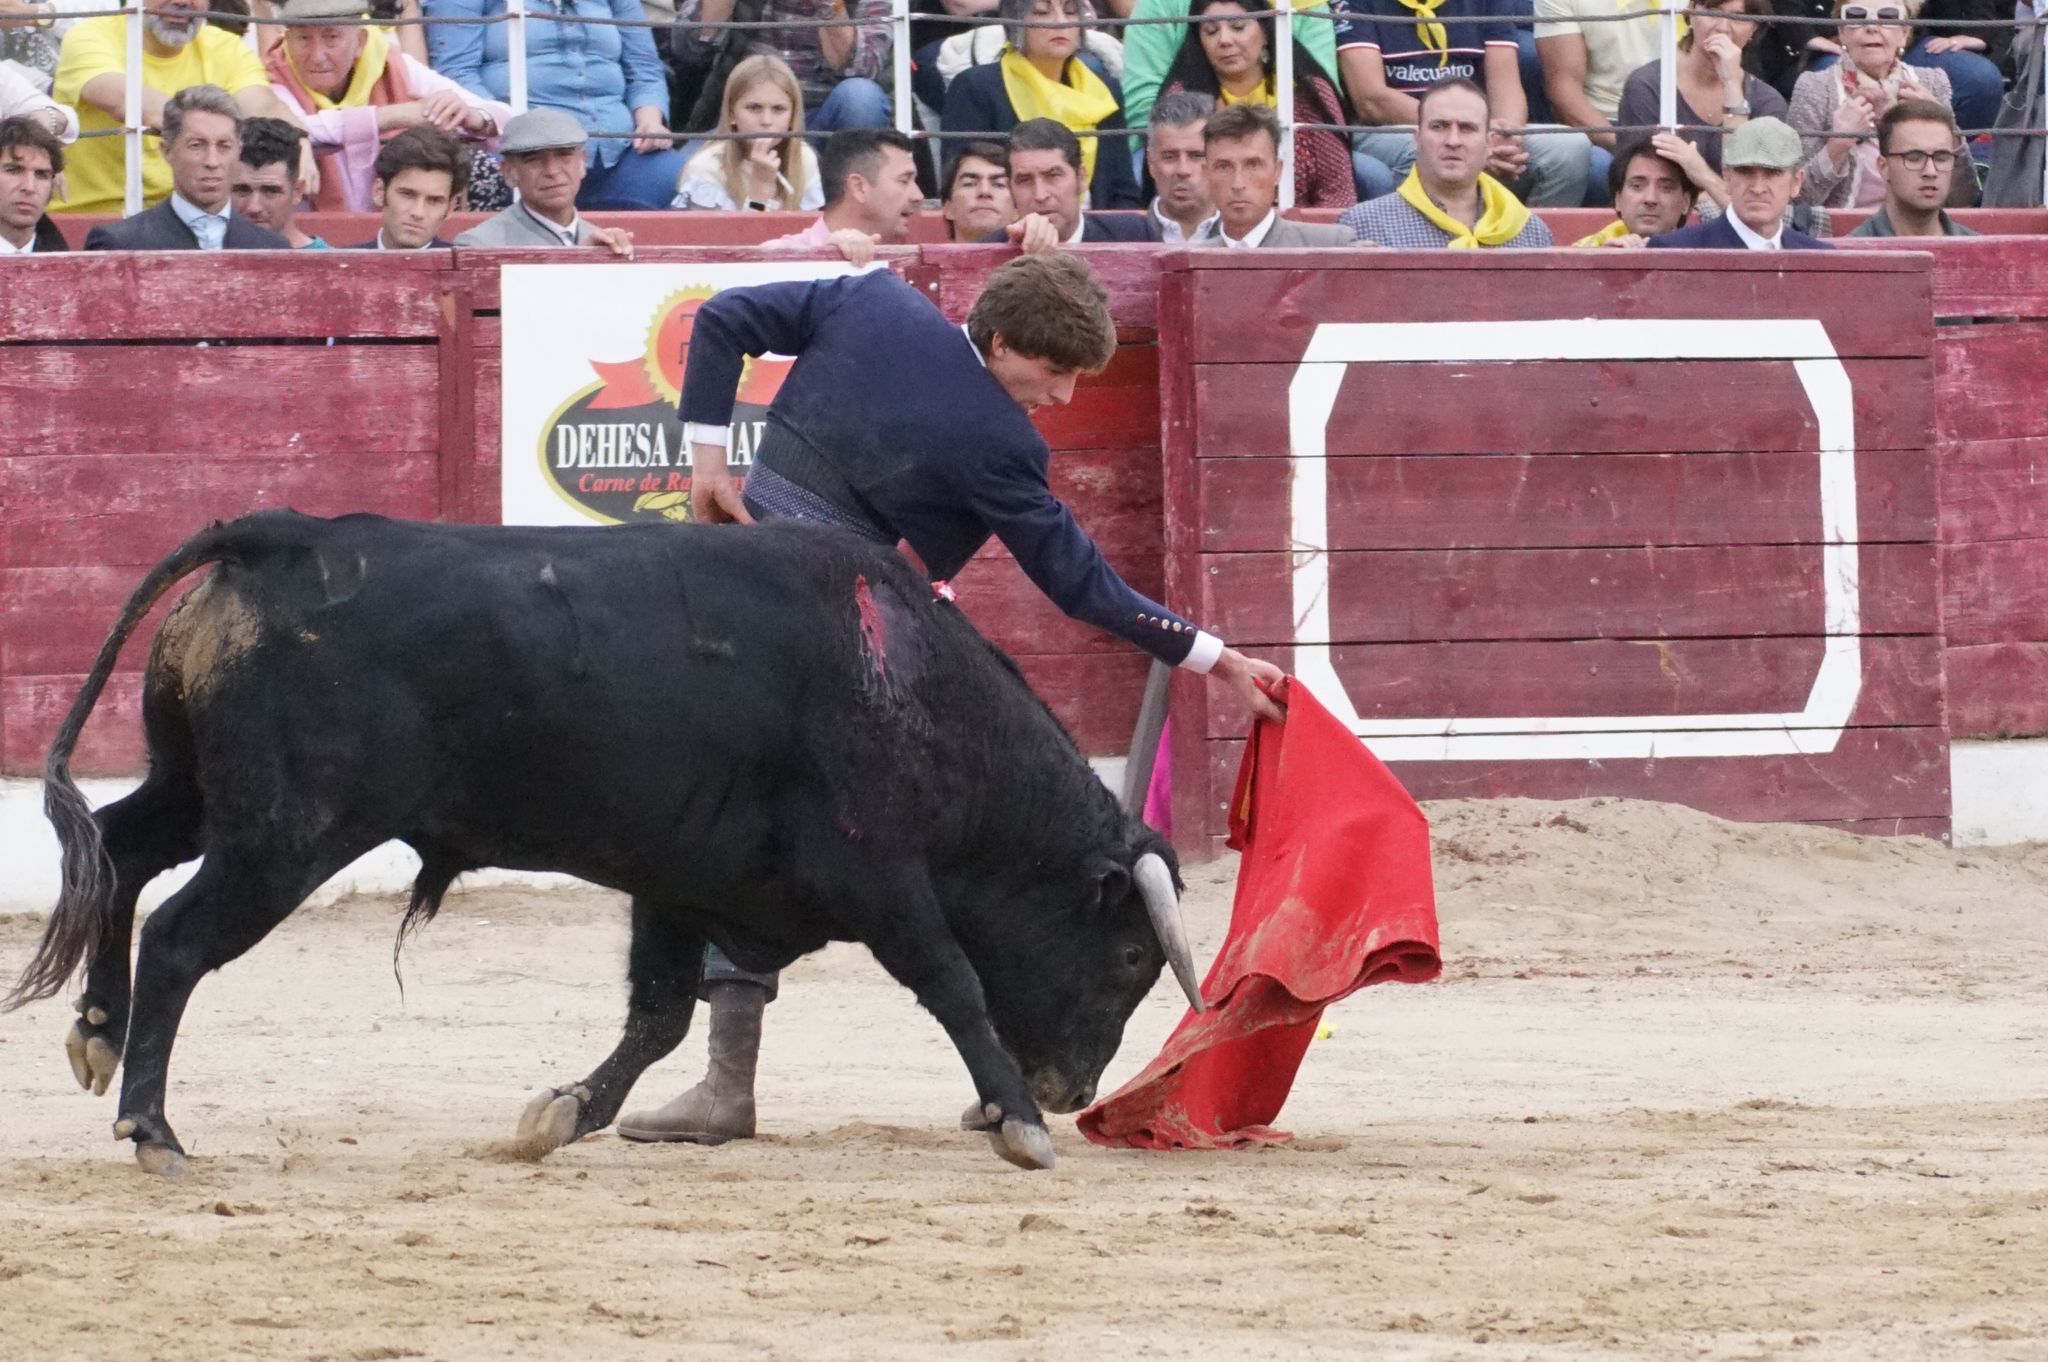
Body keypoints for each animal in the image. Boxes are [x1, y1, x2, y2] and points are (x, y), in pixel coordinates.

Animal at [4, 516, 1196, 1171]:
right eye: (1134, 955)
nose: (1069, 1091)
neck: (907, 682)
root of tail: (280, 535)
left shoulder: (681, 880)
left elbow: (659, 1017)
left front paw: (562, 1114)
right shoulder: (881, 877)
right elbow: (954, 982)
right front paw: (1018, 1128)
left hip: (204, 795)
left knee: (118, 851)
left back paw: (97, 1034)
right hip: (282, 838)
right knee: (175, 935)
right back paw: (152, 1129)